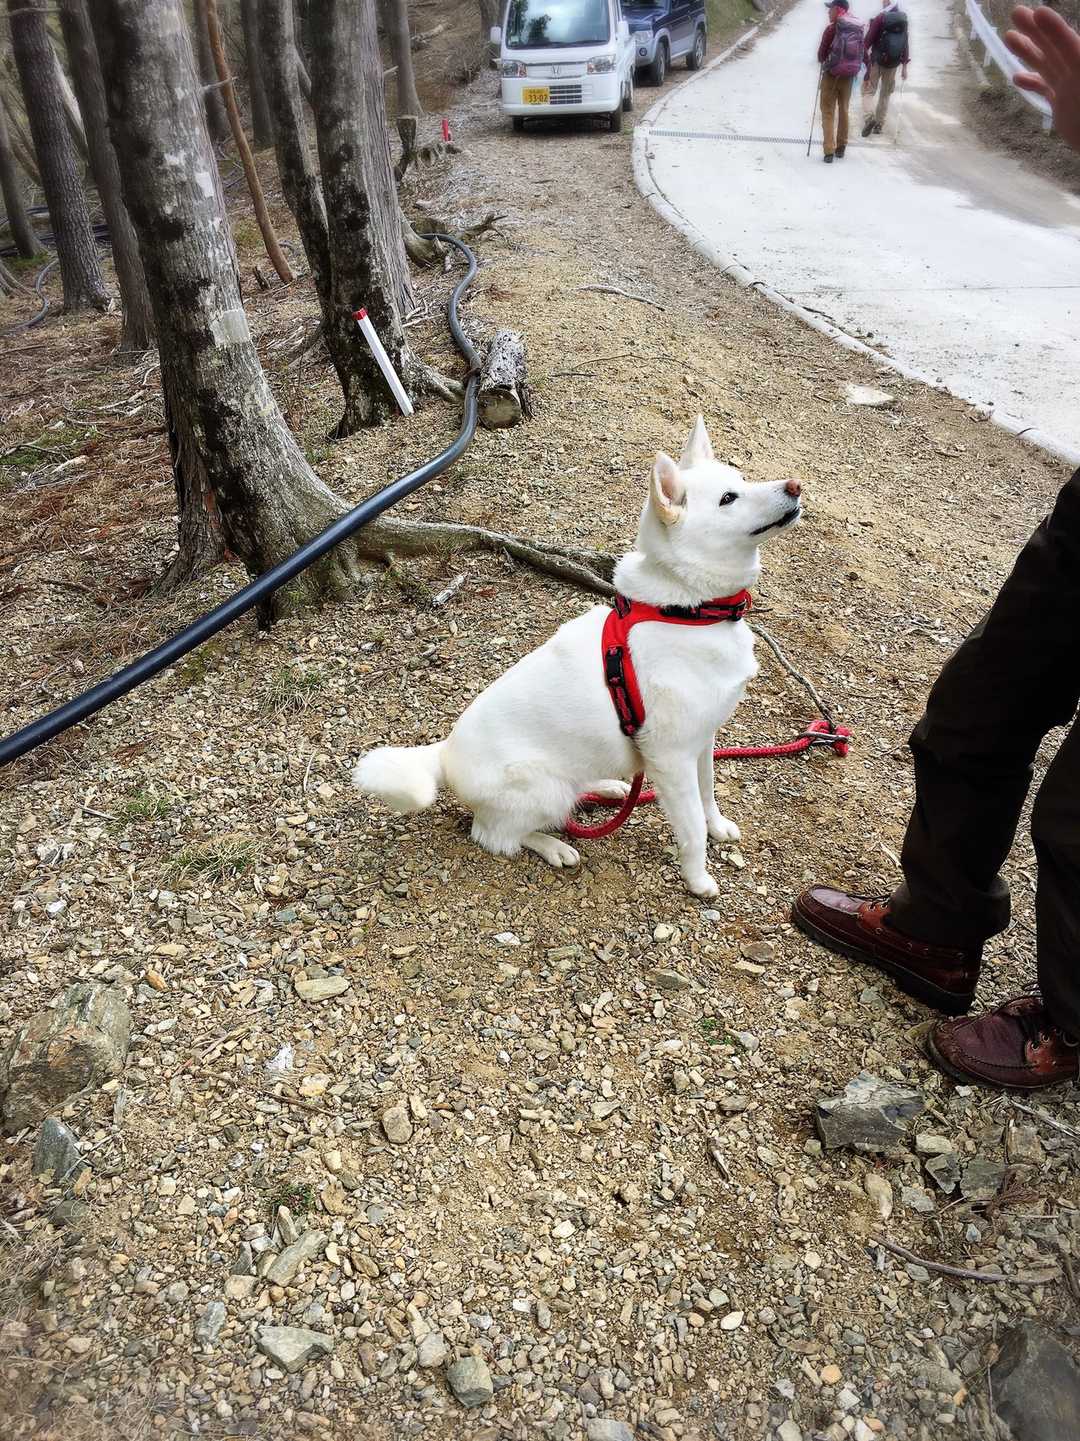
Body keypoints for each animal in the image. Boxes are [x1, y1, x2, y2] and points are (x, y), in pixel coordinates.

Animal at [353, 417, 802, 897]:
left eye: (741, 480)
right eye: (728, 499)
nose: (795, 486)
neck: (687, 611)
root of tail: (444, 754)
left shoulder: (703, 741)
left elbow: (708, 796)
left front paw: (719, 829)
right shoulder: (672, 757)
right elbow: (692, 827)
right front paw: (698, 879)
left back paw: (606, 788)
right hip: (541, 788)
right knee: (494, 834)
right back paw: (553, 846)